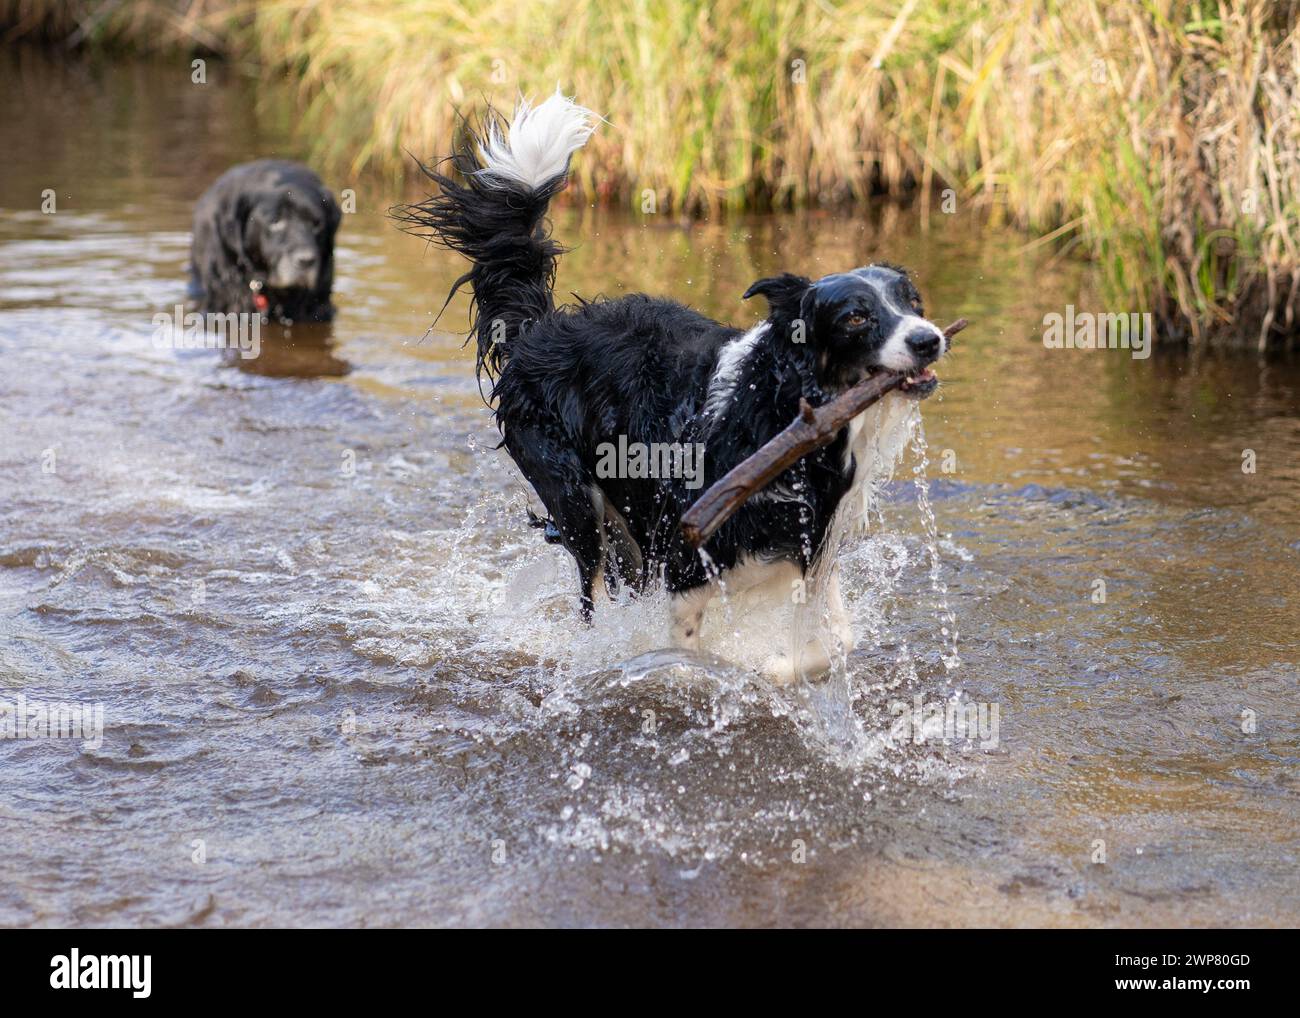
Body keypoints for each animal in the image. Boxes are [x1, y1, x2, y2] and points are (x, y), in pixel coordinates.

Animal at [400, 93, 951, 686]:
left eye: (912, 302)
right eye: (855, 317)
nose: (929, 340)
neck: (780, 410)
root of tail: (542, 331)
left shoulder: (816, 551)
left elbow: (832, 644)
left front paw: (776, 666)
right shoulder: (686, 558)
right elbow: (689, 656)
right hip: (576, 504)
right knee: (594, 599)